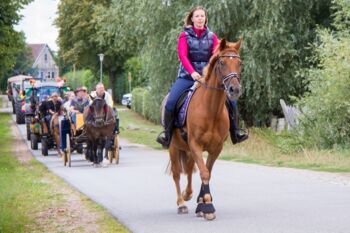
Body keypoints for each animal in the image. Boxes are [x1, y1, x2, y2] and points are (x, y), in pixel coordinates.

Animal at [165, 38, 242, 220]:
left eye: (239, 63)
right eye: (222, 62)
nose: (234, 89)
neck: (210, 109)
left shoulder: (216, 148)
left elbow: (207, 171)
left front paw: (202, 203)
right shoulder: (196, 145)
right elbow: (204, 172)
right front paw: (207, 206)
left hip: (188, 149)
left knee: (189, 170)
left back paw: (188, 194)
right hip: (174, 147)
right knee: (177, 173)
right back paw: (181, 203)